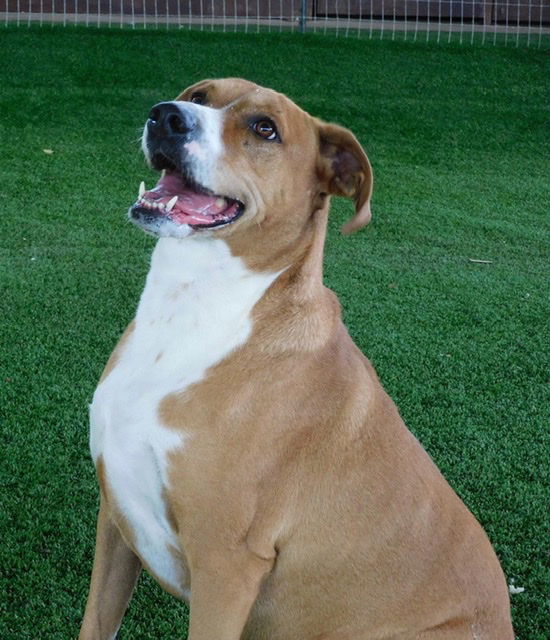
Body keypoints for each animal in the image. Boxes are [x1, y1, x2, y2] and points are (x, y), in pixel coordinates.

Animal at [80, 80, 516, 640]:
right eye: (199, 95)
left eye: (265, 128)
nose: (166, 116)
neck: (191, 309)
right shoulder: (116, 515)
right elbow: (95, 621)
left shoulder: (226, 563)